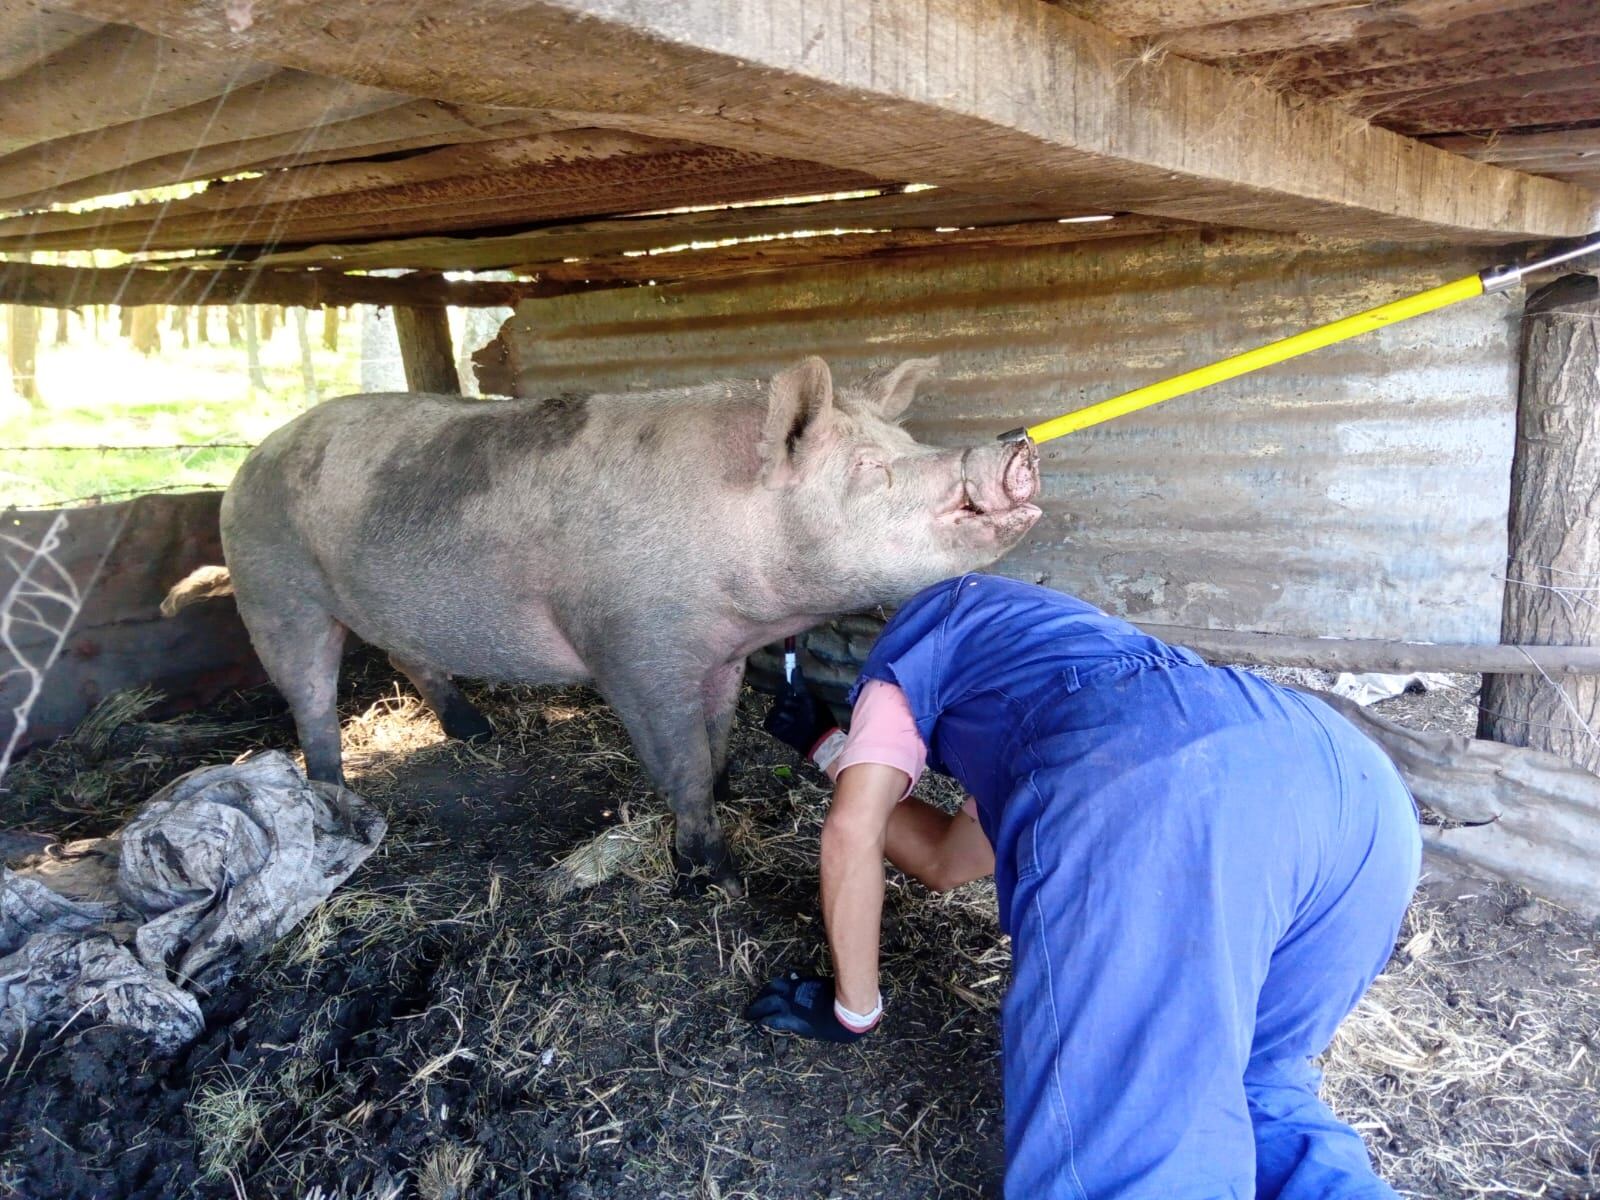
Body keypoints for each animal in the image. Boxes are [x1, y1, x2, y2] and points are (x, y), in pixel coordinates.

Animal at [168, 356, 1043, 896]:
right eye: (869, 468)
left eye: (908, 441)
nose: (1013, 447)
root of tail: (247, 463)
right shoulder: (632, 648)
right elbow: (678, 761)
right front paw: (713, 877)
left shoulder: (722, 652)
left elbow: (716, 733)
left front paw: (732, 787)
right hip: (276, 588)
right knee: (310, 698)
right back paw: (336, 802)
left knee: (409, 657)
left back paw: (476, 732)